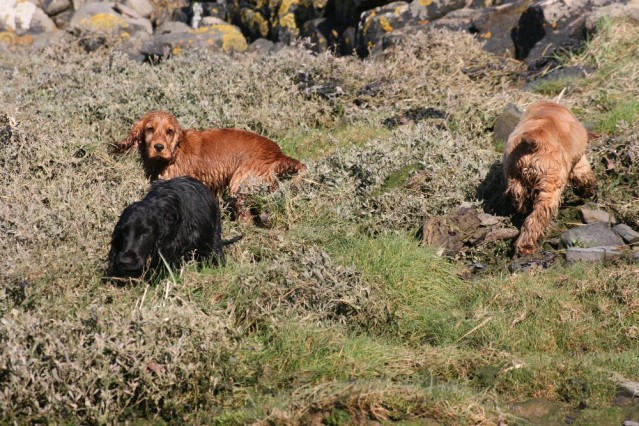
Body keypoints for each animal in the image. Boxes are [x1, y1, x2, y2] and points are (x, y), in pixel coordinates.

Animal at [116, 111, 308, 220]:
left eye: (169, 131)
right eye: (150, 129)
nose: (158, 147)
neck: (176, 151)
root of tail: (279, 154)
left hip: (239, 183)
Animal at [504, 101, 600, 258]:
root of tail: (532, 139)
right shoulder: (578, 159)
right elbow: (584, 174)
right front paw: (588, 191)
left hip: (514, 176)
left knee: (519, 198)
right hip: (550, 184)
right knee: (537, 217)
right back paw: (527, 247)